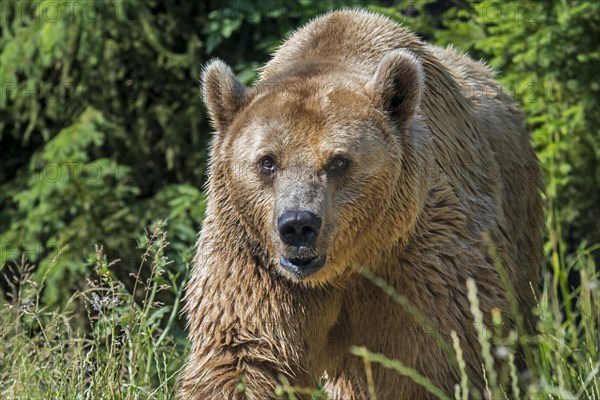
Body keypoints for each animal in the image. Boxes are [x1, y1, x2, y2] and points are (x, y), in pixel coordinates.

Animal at [178, 9, 544, 400]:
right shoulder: (254, 258)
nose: (298, 225)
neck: (350, 263)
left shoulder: (421, 254)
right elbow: (246, 353)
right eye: (267, 161)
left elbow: (431, 360)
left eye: (338, 161)